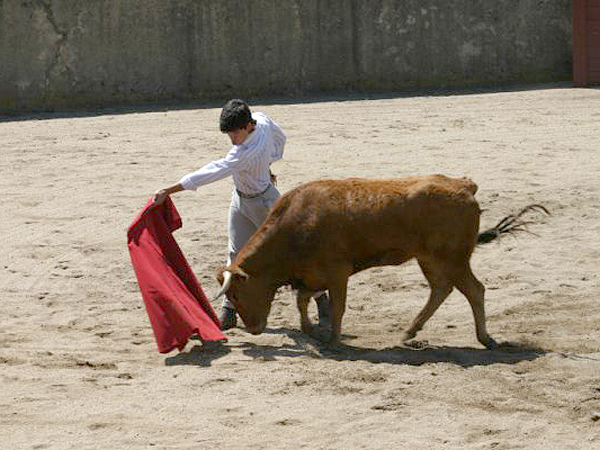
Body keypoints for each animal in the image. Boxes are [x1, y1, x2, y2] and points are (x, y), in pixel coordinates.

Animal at [216, 174, 548, 350]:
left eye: (237, 292)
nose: (253, 329)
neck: (293, 227)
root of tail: (463, 185)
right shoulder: (314, 275)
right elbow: (302, 299)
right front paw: (310, 330)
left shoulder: (337, 273)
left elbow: (336, 307)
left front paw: (334, 341)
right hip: (429, 259)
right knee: (441, 289)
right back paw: (410, 332)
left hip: (453, 259)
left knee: (474, 290)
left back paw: (485, 338)